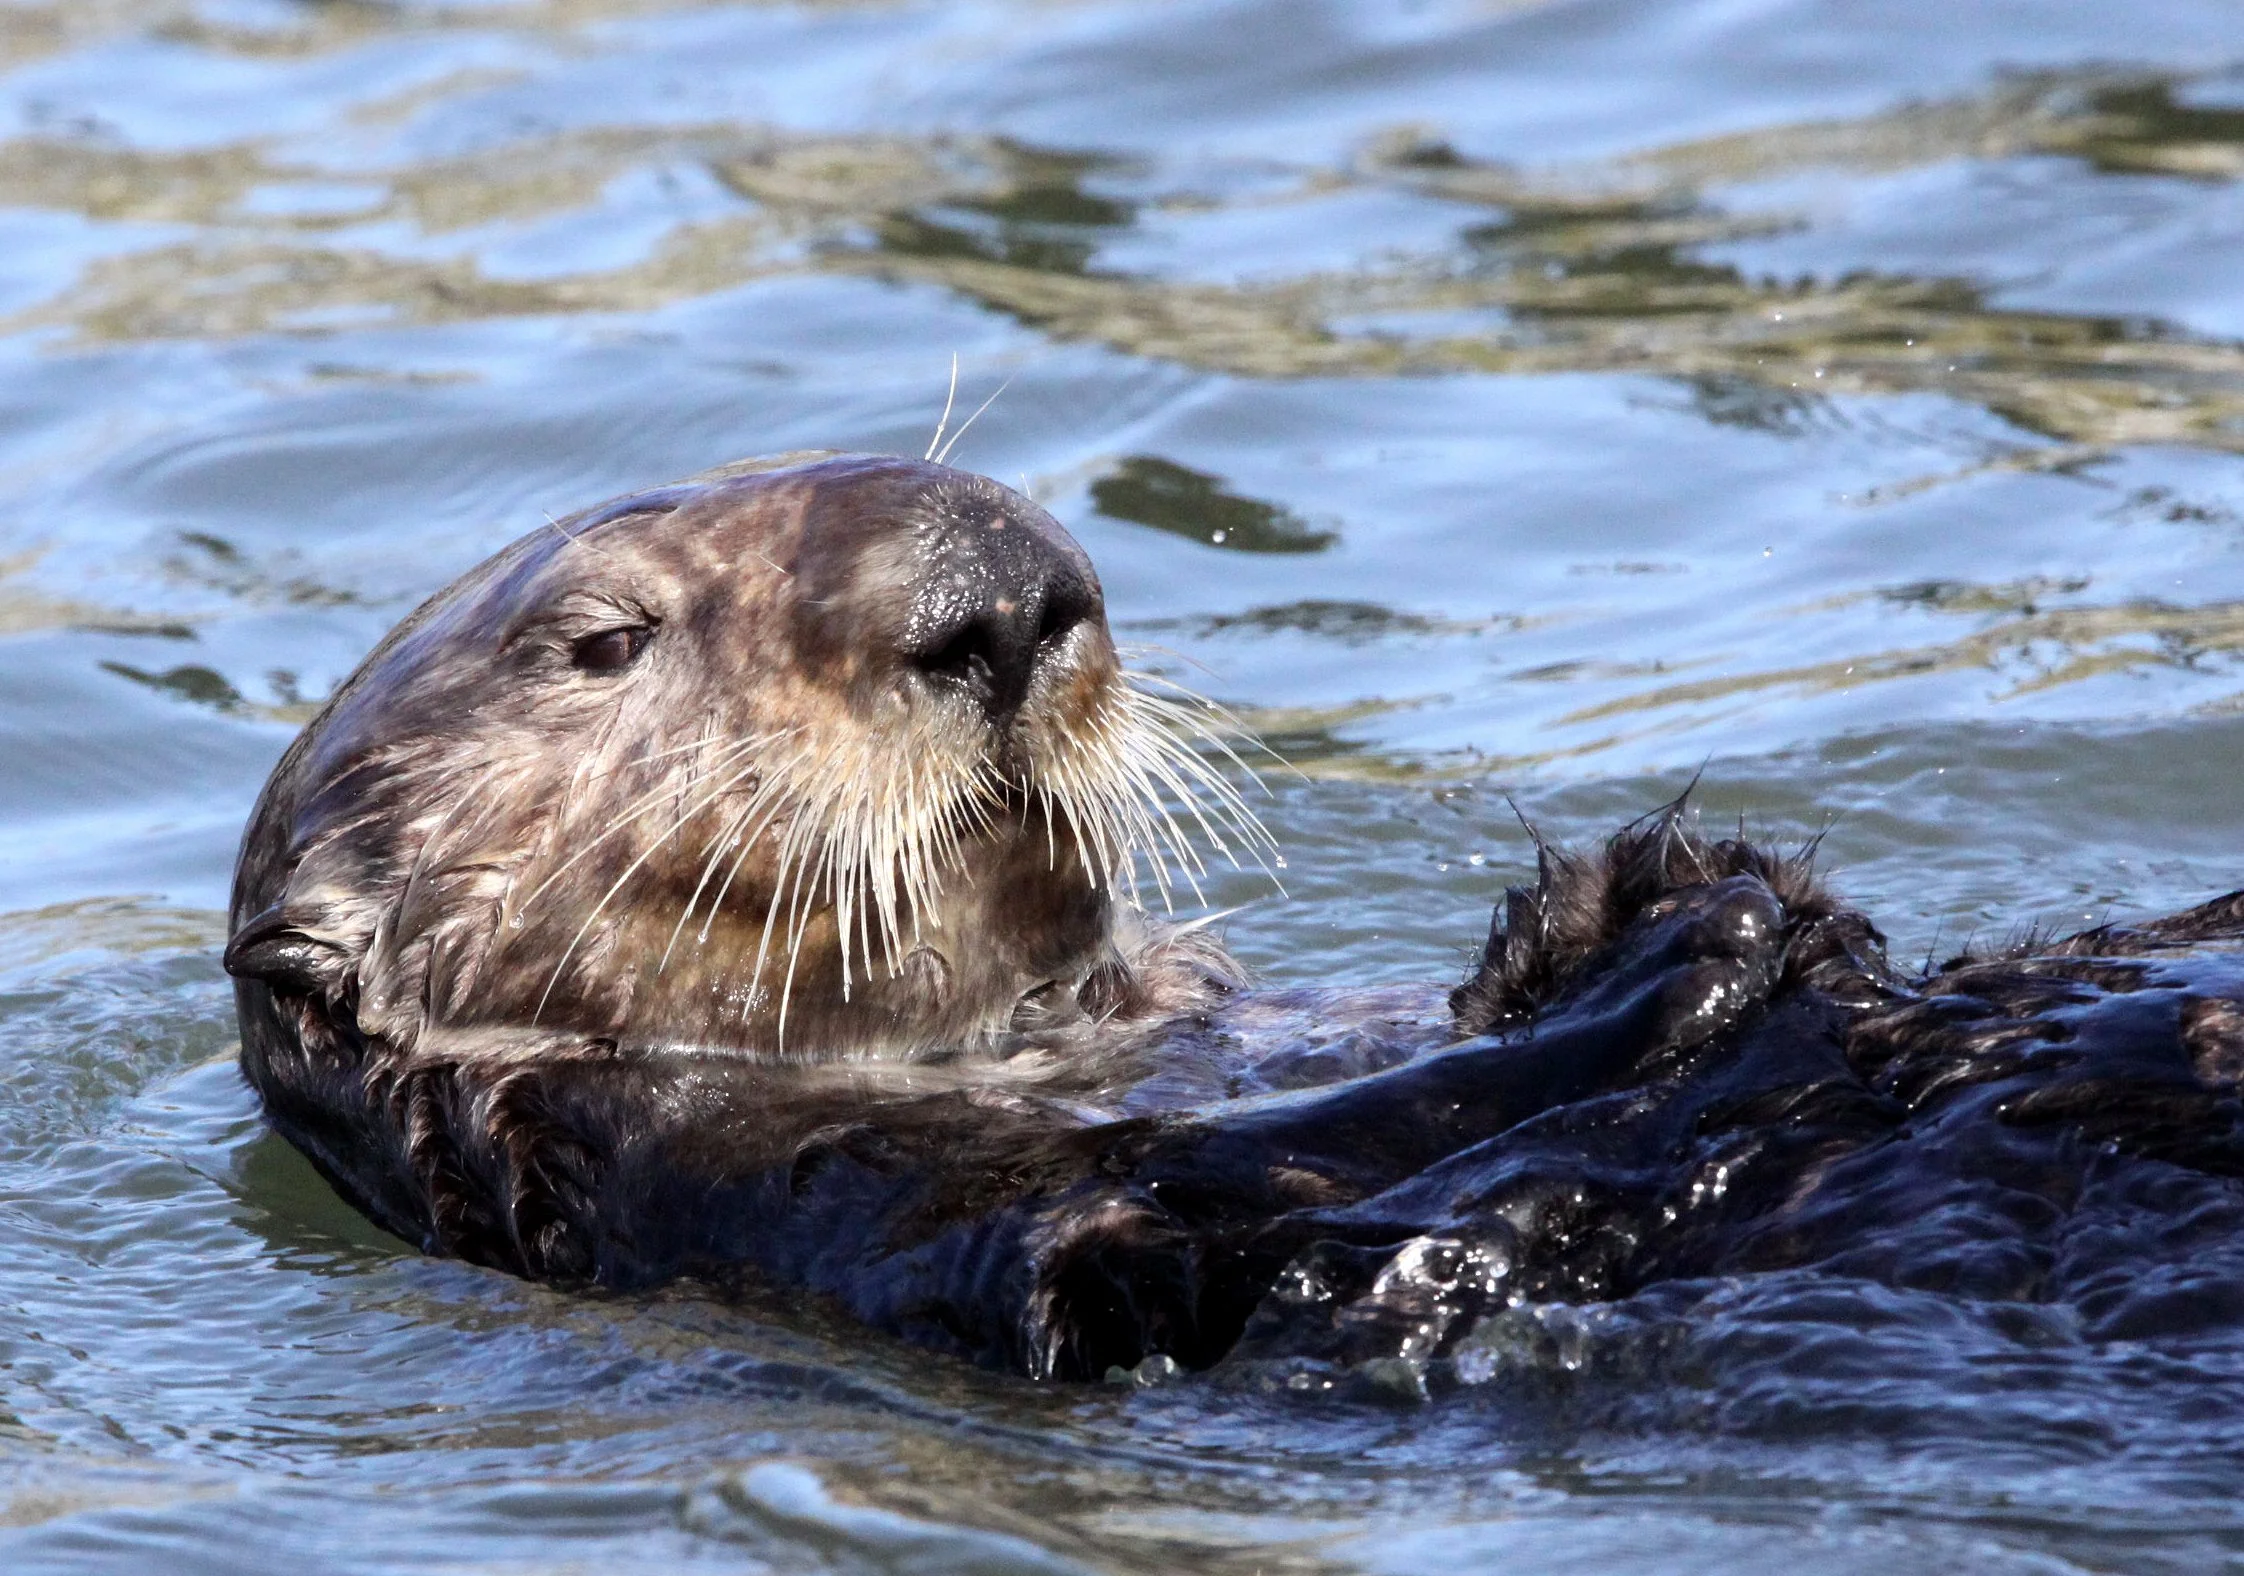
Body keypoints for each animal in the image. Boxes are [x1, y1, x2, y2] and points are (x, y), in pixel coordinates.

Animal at [226, 452, 2244, 1382]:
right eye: (602, 641)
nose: (1003, 598)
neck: (1033, 1056)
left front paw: (1640, 894)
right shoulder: (785, 1190)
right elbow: (1253, 1224)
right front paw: (1707, 947)